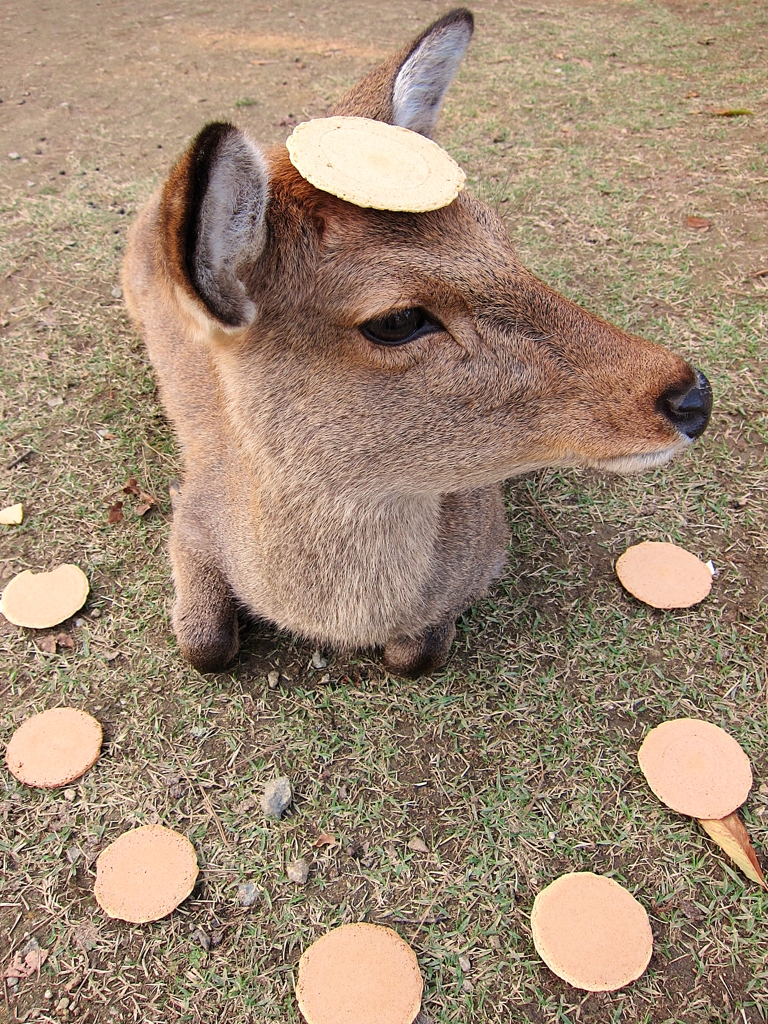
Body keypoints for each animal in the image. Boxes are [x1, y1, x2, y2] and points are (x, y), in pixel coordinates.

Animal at [121, 9, 716, 679]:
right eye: (397, 320)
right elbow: (204, 645)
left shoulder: (488, 532)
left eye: (498, 231)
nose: (693, 396)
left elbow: (416, 653)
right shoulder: (191, 512)